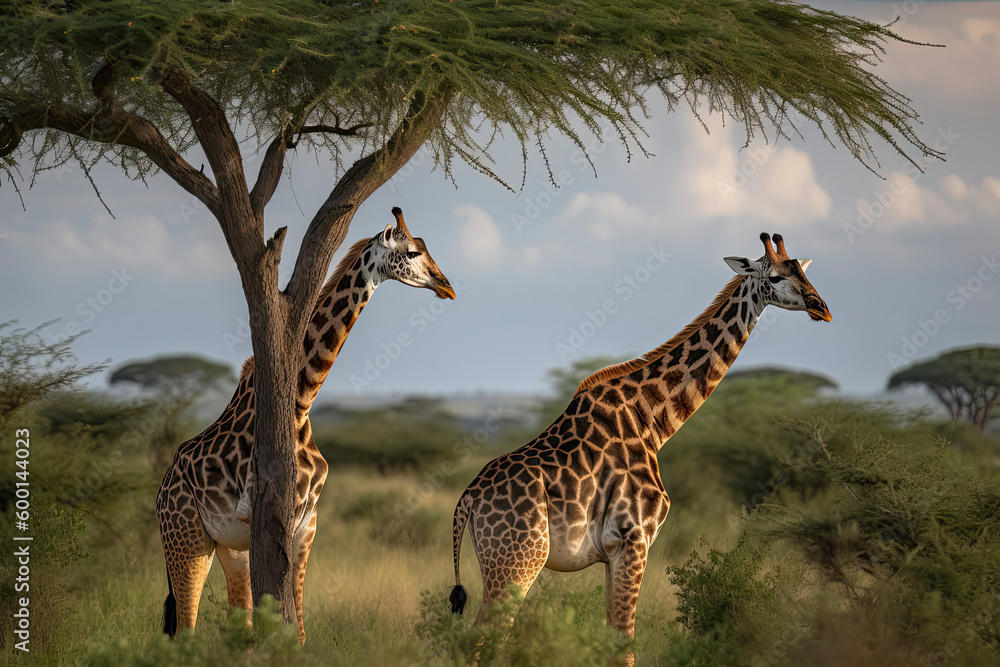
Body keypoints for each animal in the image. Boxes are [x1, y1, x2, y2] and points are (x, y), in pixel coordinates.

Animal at [156, 208, 455, 643]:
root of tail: (161, 489)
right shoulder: (268, 515)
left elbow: (297, 625)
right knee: (184, 629)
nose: (447, 286)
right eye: (413, 251)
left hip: (228, 546)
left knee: (233, 620)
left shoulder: (307, 521)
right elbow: (285, 619)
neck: (301, 401)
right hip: (185, 539)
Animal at [448, 233, 831, 644]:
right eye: (774, 277)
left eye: (802, 272)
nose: (821, 308)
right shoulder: (633, 538)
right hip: (518, 561)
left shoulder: (614, 551)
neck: (652, 420)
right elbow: (624, 639)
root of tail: (467, 500)